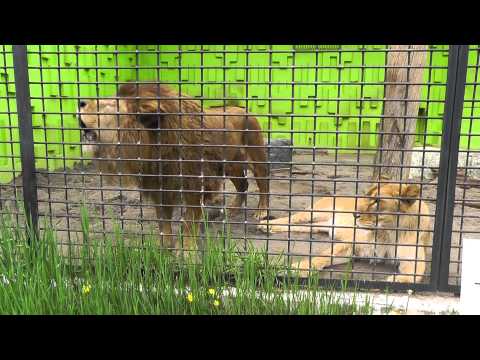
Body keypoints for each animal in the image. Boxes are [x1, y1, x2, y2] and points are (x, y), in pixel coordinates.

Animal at [77, 82, 268, 250]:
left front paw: (187, 252)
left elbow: (189, 223)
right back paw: (232, 210)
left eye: (106, 105)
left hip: (255, 156)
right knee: (243, 184)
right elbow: (163, 222)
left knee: (263, 183)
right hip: (231, 165)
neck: (155, 148)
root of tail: (243, 108)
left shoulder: (195, 186)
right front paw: (164, 247)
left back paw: (261, 212)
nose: (80, 102)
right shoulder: (160, 187)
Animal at [256, 184, 434, 282]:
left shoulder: (414, 258)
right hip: (315, 212)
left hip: (322, 225)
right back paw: (266, 224)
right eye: (366, 197)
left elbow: (415, 273)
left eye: (377, 201)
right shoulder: (352, 244)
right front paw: (298, 269)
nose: (354, 214)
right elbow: (322, 257)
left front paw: (398, 279)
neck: (387, 232)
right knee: (292, 218)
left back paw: (269, 228)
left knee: (305, 227)